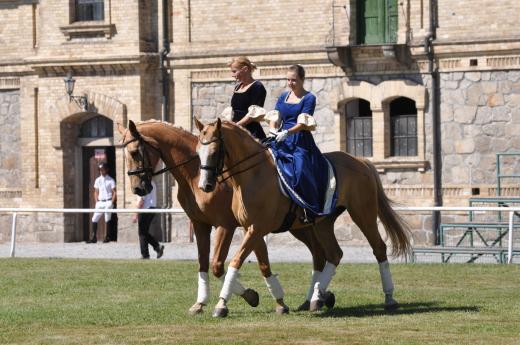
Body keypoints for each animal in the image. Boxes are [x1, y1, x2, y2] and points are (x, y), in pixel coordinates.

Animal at [120, 119, 328, 314]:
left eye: (135, 153)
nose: (138, 189)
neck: (195, 175)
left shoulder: (225, 225)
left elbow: (217, 265)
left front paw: (246, 296)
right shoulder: (200, 224)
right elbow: (204, 263)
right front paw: (200, 303)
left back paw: (317, 298)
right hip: (300, 227)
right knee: (320, 255)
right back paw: (318, 298)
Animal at [195, 118, 410, 318]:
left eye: (214, 151)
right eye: (198, 152)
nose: (205, 186)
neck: (252, 174)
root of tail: (359, 160)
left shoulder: (256, 228)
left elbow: (235, 262)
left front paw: (221, 305)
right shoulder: (251, 229)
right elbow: (258, 265)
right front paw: (264, 300)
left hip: (363, 213)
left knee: (378, 248)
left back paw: (389, 297)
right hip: (323, 224)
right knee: (333, 254)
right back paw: (316, 299)